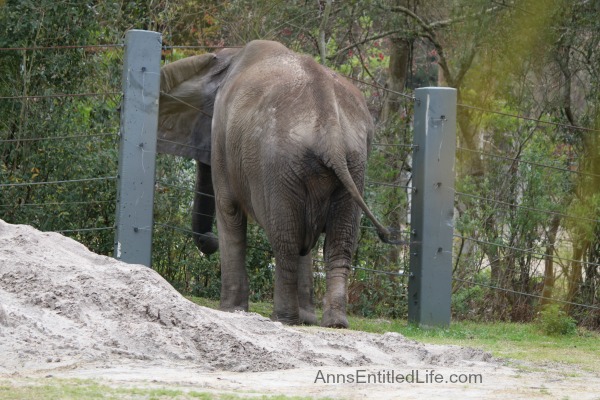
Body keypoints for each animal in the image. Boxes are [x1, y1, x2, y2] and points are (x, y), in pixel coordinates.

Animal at [158, 39, 398, 328]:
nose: (209, 242)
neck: (226, 59)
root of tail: (329, 126)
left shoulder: (222, 138)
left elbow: (228, 209)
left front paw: (231, 310)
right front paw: (307, 318)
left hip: (278, 165)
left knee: (286, 239)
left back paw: (283, 318)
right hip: (353, 162)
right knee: (338, 243)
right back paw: (334, 322)